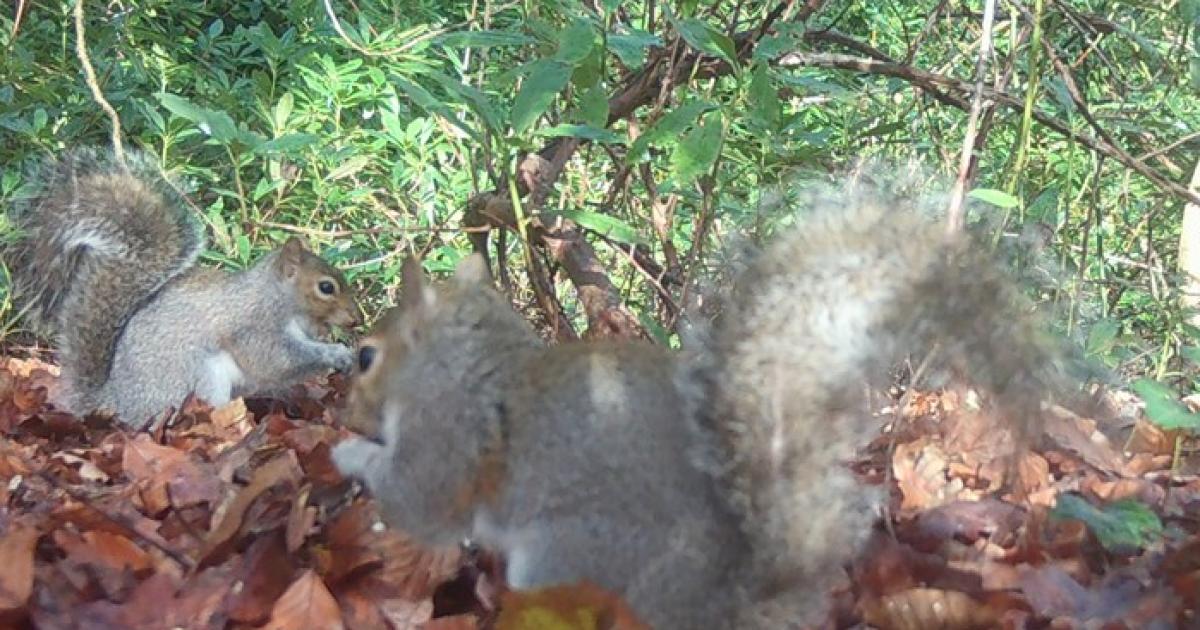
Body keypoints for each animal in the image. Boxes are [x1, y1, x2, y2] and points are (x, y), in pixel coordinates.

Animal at [4, 148, 362, 428]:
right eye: (326, 287)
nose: (357, 319)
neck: (279, 298)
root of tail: (114, 404)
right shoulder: (255, 326)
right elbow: (277, 359)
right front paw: (337, 353)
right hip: (197, 380)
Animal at [331, 180, 1068, 628]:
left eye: (366, 357)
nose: (343, 413)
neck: (474, 361)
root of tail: (728, 607)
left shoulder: (444, 432)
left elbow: (415, 500)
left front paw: (348, 453)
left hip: (566, 555)